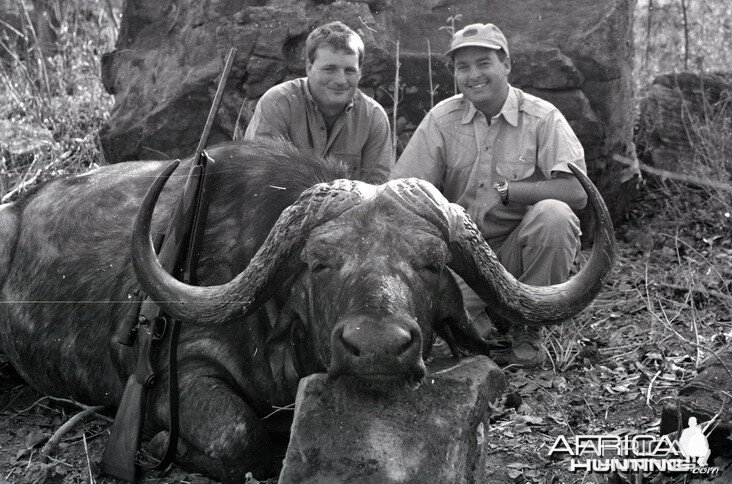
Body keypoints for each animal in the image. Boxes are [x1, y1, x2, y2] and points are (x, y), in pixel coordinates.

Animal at [0, 139, 616, 480]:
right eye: (320, 263)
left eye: (432, 263)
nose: (377, 349)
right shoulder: (179, 376)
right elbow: (240, 437)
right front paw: (155, 444)